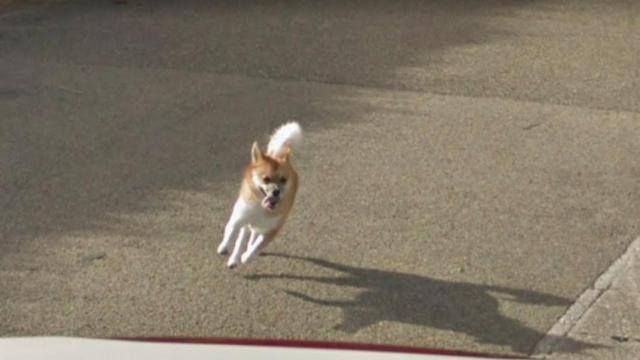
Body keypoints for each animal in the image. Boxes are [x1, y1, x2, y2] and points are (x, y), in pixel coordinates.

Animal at [218, 122, 302, 268]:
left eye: (283, 180)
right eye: (266, 179)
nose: (276, 191)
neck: (261, 206)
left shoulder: (271, 230)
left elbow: (257, 246)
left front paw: (247, 256)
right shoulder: (239, 216)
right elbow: (232, 231)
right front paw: (225, 246)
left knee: (253, 235)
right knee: (242, 235)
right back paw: (234, 258)